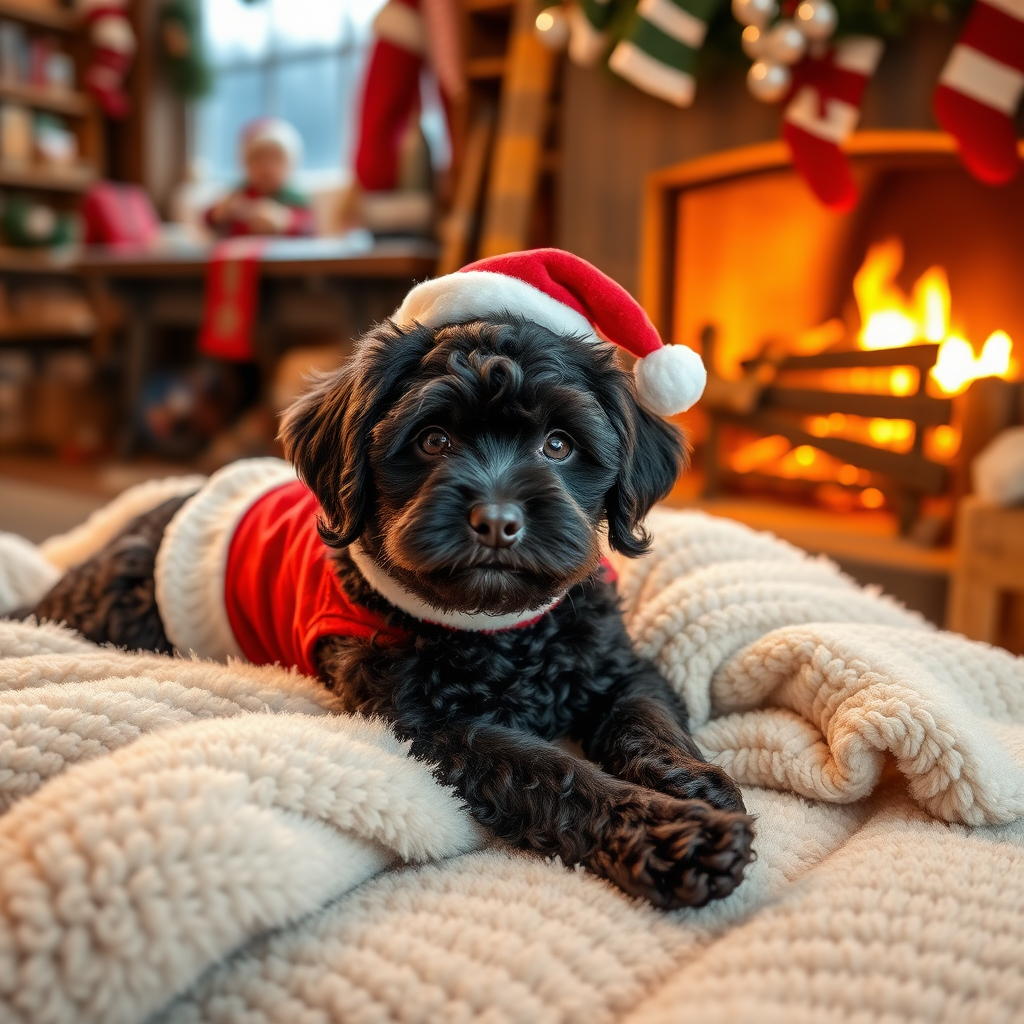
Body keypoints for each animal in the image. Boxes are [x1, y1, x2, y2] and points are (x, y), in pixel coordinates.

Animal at [29, 251, 753, 909]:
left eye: (558, 445)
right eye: (432, 440)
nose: (498, 522)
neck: (498, 631)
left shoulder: (620, 666)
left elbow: (647, 719)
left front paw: (696, 785)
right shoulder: (431, 726)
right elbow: (551, 772)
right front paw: (673, 835)